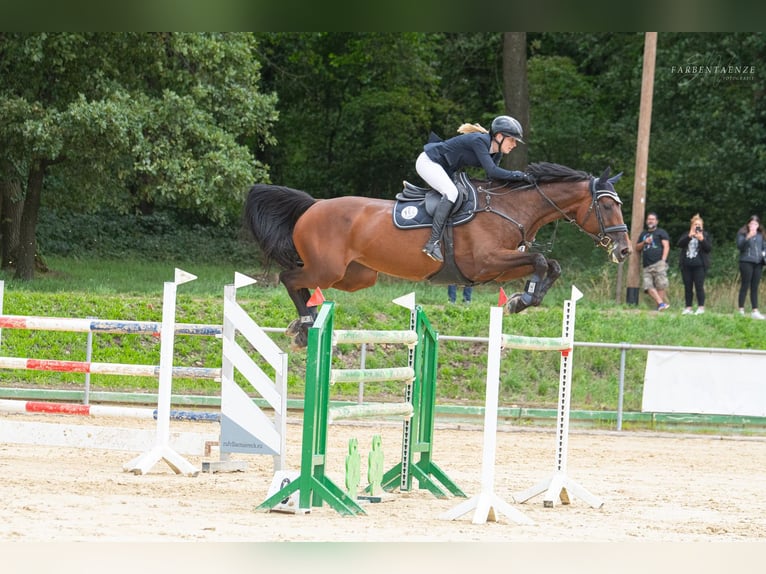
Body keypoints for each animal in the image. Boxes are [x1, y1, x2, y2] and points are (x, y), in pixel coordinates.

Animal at [244, 163, 632, 352]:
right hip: (328, 268)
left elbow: (550, 265)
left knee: (301, 280)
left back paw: (305, 326)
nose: (625, 249)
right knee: (289, 278)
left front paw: (524, 298)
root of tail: (314, 205)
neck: (510, 208)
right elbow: (539, 261)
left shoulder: (495, 270)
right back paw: (305, 324)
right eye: (607, 206)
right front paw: (521, 300)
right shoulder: (487, 262)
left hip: (354, 276)